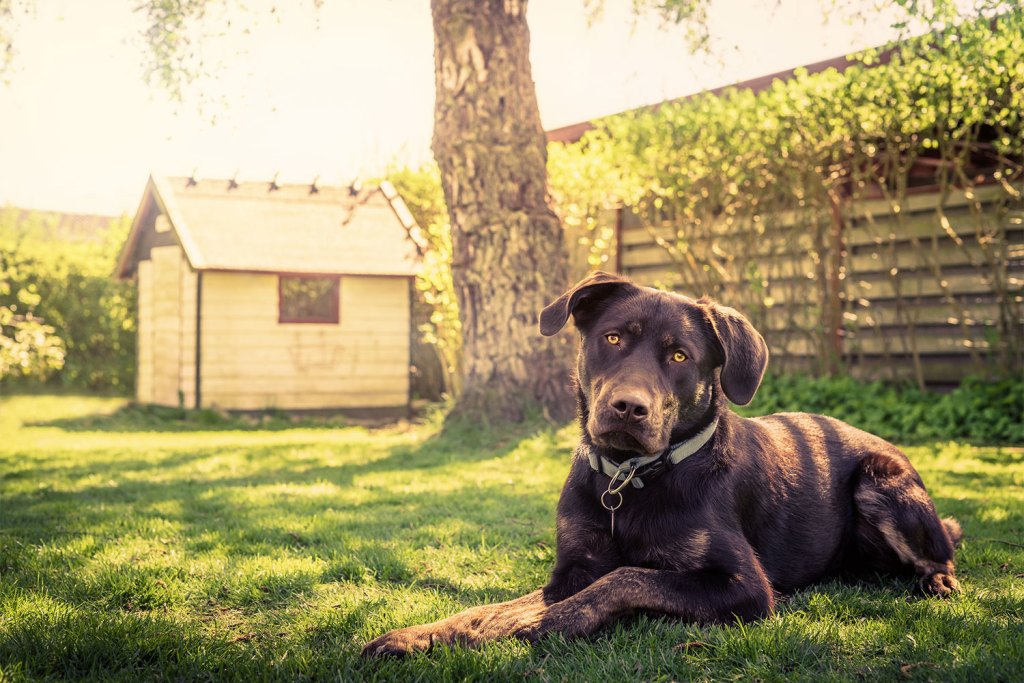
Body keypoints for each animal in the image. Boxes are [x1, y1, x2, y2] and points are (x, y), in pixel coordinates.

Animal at [362, 268, 958, 655]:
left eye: (679, 355)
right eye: (612, 338)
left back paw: (937, 582)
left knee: (943, 552)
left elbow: (627, 577)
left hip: (881, 483)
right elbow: (491, 608)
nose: (629, 407)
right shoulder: (570, 568)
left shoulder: (743, 586)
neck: (632, 480)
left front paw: (552, 621)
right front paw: (422, 634)